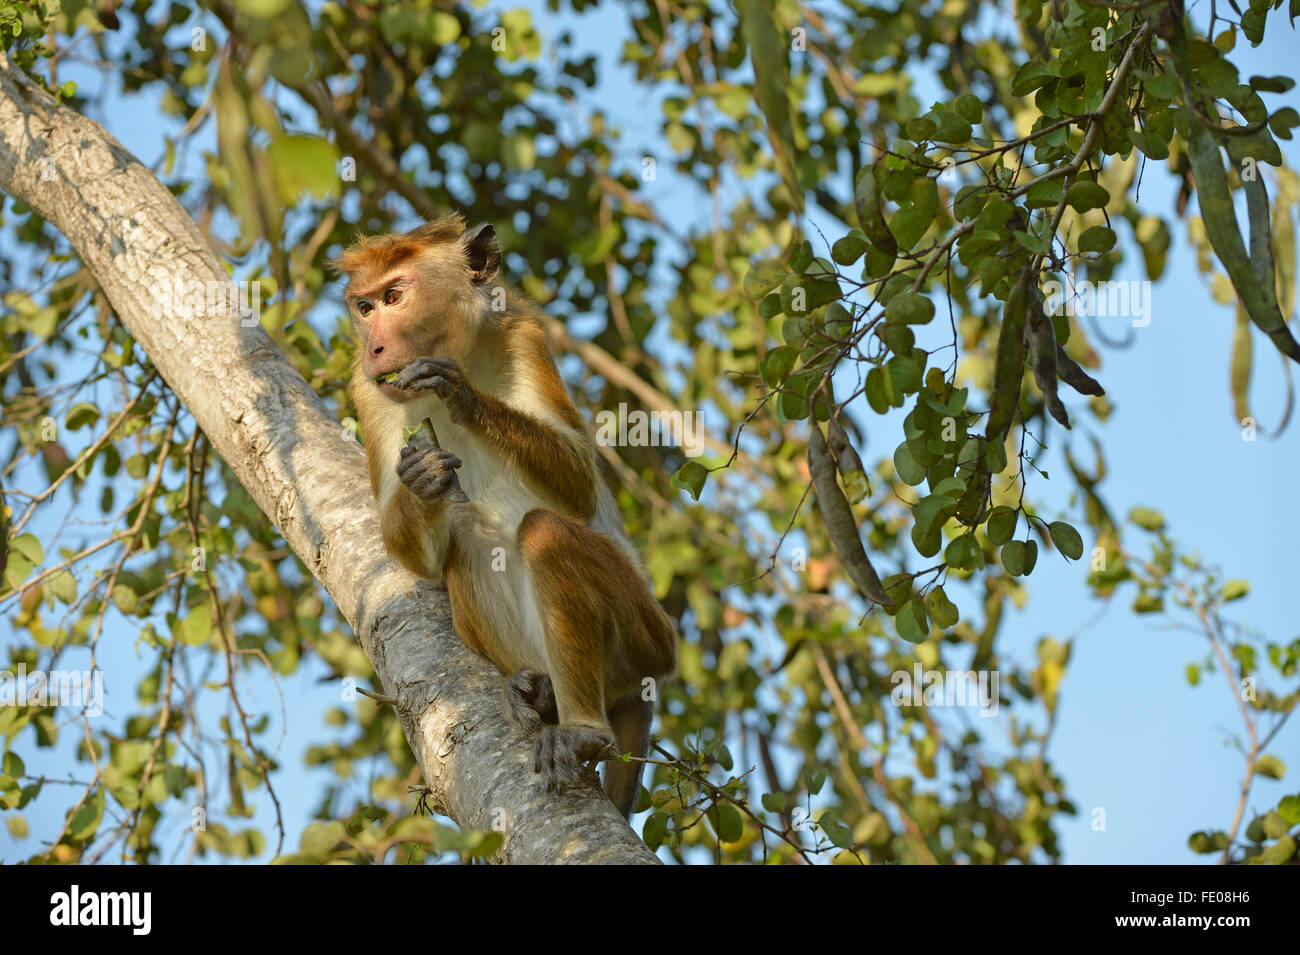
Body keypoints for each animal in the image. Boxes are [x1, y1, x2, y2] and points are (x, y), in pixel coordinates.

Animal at [334, 213, 677, 819]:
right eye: (365, 306)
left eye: (394, 296)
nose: (374, 346)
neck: (465, 347)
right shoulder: (368, 391)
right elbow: (417, 553)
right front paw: (421, 476)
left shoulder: (525, 336)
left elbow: (580, 484)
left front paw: (460, 394)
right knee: (467, 534)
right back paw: (536, 690)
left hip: (647, 634)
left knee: (544, 531)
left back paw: (582, 729)